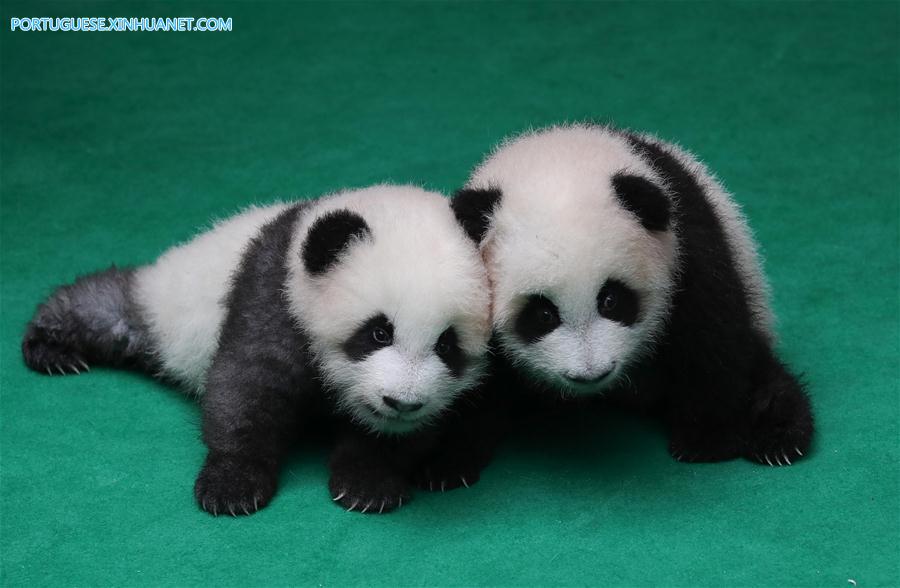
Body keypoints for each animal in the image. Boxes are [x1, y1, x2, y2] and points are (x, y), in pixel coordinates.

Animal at [22, 184, 493, 515]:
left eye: (447, 344)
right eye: (378, 332)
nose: (401, 402)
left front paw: (368, 483)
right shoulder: (273, 293)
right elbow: (247, 385)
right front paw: (232, 485)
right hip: (160, 305)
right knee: (108, 306)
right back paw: (51, 348)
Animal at [449, 124, 814, 468]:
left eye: (611, 300)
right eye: (543, 314)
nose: (591, 373)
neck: (563, 154)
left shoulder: (686, 245)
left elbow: (711, 338)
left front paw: (708, 440)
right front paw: (448, 461)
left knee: (761, 372)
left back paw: (778, 435)